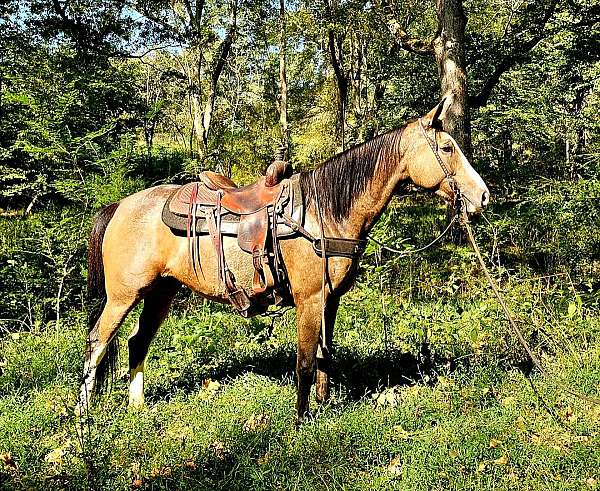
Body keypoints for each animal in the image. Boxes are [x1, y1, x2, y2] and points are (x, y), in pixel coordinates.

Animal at [77, 99, 490, 422]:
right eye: (448, 148)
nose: (483, 195)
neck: (324, 213)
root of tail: (119, 207)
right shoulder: (308, 300)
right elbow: (304, 361)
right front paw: (300, 419)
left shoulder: (329, 300)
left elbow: (324, 355)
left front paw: (322, 405)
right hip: (124, 296)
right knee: (98, 341)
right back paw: (83, 415)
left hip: (161, 292)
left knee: (137, 342)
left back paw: (138, 407)